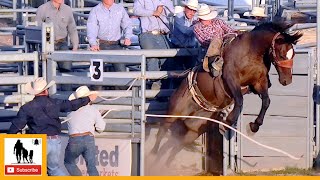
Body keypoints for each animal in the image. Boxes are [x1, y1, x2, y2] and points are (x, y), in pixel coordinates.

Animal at [150, 21, 302, 167]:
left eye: (293, 54)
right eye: (282, 54)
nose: (287, 80)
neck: (251, 51)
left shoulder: (260, 82)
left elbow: (266, 101)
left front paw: (254, 126)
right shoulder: (231, 78)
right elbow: (239, 100)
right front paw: (228, 121)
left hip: (194, 130)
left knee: (174, 145)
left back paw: (162, 165)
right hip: (174, 113)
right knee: (162, 132)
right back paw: (152, 154)